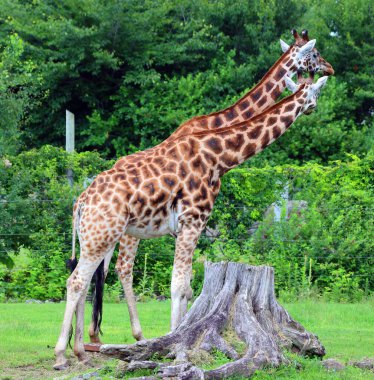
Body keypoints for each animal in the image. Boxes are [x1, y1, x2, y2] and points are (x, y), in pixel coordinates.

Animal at [54, 75, 328, 370]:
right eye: (316, 92)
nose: (313, 108)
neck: (219, 157)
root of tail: (80, 202)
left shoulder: (187, 226)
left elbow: (186, 285)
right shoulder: (193, 220)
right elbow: (177, 286)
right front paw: (172, 342)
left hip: (95, 238)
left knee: (85, 282)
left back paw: (81, 352)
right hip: (104, 236)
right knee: (77, 282)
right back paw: (61, 356)